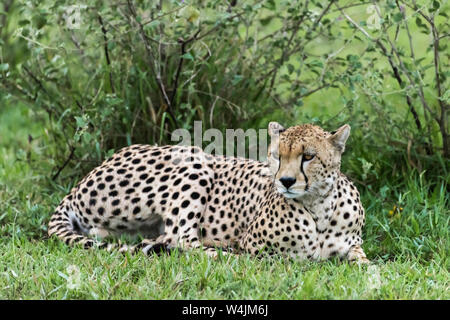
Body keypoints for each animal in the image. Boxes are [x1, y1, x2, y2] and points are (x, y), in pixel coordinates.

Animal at [48, 121, 370, 264]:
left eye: (308, 156)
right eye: (277, 156)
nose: (286, 181)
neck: (319, 207)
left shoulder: (352, 245)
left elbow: (362, 260)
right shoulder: (258, 246)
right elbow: (282, 257)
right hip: (194, 159)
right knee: (181, 239)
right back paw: (225, 254)